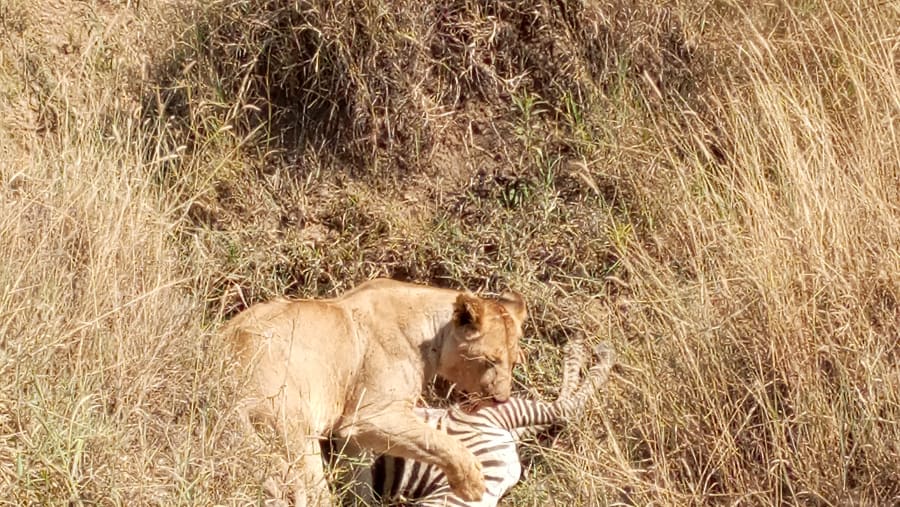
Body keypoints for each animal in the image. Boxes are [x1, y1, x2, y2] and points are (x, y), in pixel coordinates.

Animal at [221, 278, 527, 505]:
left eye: (513, 363)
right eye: (490, 360)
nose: (501, 399)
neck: (432, 334)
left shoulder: (350, 436)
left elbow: (359, 480)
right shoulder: (369, 416)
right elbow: (438, 441)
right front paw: (472, 482)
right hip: (292, 434)